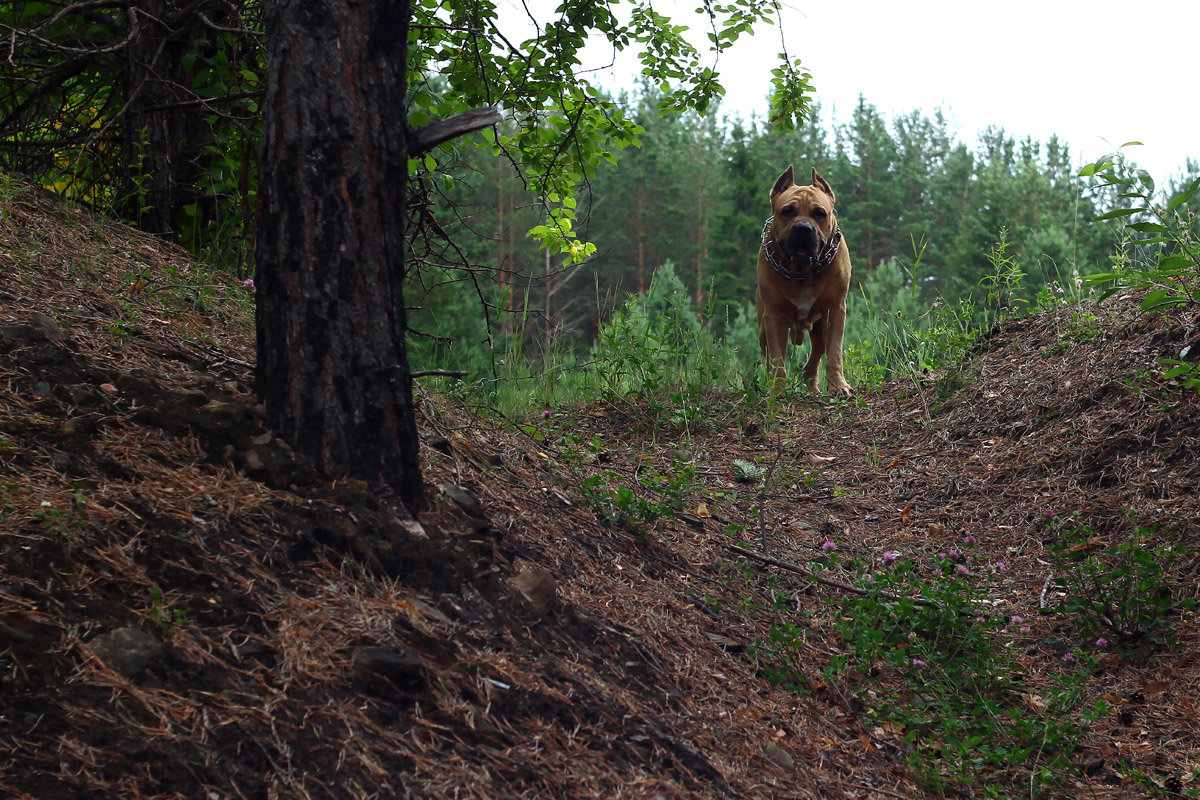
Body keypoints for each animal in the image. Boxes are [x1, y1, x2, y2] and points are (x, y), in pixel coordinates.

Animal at [758, 166, 854, 398]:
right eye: (787, 211)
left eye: (819, 213)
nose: (803, 229)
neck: (803, 271)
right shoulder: (773, 316)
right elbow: (777, 358)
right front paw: (777, 389)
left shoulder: (835, 310)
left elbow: (834, 352)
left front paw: (838, 385)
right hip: (763, 328)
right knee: (770, 355)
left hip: (819, 327)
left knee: (816, 355)